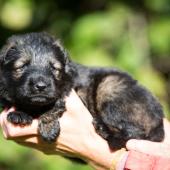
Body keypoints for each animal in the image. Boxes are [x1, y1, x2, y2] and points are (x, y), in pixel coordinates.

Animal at [0, 32, 165, 149]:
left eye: (54, 68)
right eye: (22, 66)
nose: (41, 86)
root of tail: (159, 118)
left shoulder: (69, 91)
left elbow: (54, 106)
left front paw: (48, 128)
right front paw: (20, 114)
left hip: (109, 85)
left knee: (136, 132)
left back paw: (104, 129)